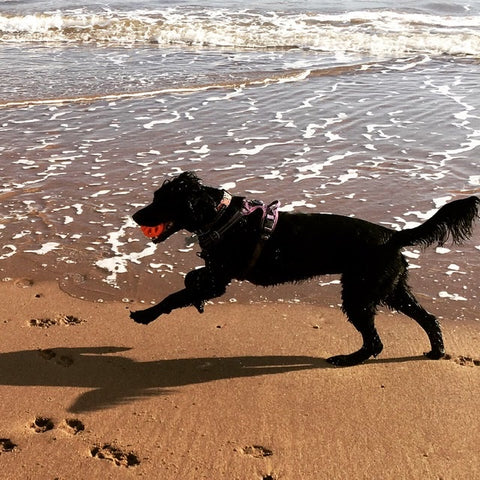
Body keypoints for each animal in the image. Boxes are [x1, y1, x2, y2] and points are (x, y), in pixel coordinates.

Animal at [129, 171, 478, 366]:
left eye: (162, 201)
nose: (134, 216)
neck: (223, 217)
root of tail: (393, 235)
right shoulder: (216, 274)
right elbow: (190, 280)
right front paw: (196, 301)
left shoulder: (219, 278)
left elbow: (177, 294)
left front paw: (145, 314)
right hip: (390, 288)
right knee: (428, 319)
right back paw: (436, 352)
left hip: (359, 293)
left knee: (375, 341)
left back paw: (346, 360)